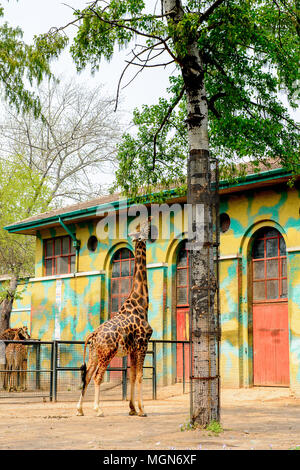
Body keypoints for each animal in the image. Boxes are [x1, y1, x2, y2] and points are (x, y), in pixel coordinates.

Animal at [76, 218, 154, 418]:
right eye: (143, 227)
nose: (151, 221)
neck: (141, 303)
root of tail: (93, 335)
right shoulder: (143, 344)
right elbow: (140, 376)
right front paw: (142, 410)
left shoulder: (133, 349)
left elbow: (132, 376)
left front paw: (132, 408)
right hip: (107, 354)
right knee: (97, 377)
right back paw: (98, 409)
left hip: (95, 354)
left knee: (87, 376)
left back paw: (80, 410)